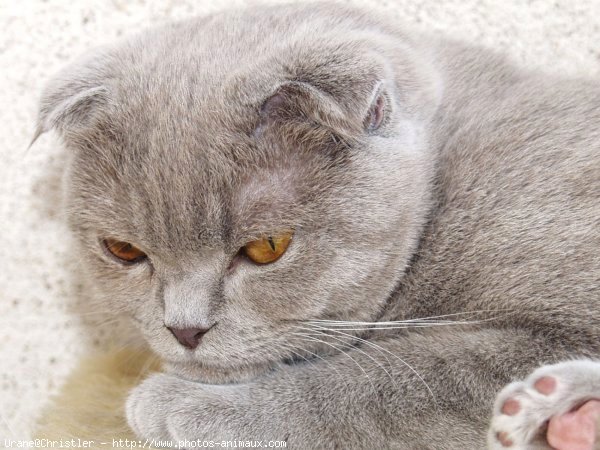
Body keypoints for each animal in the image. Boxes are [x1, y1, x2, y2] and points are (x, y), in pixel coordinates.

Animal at [35, 3, 596, 450]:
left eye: (268, 247)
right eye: (123, 250)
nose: (185, 328)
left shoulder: (559, 324)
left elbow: (382, 383)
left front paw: (183, 405)